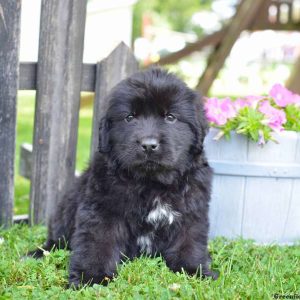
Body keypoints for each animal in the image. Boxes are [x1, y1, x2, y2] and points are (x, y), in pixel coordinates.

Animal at [29, 67, 218, 286]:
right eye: (129, 118)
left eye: (170, 117)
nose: (148, 145)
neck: (152, 183)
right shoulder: (102, 210)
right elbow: (98, 243)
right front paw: (91, 277)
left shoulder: (191, 211)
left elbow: (189, 243)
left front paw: (194, 271)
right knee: (56, 241)